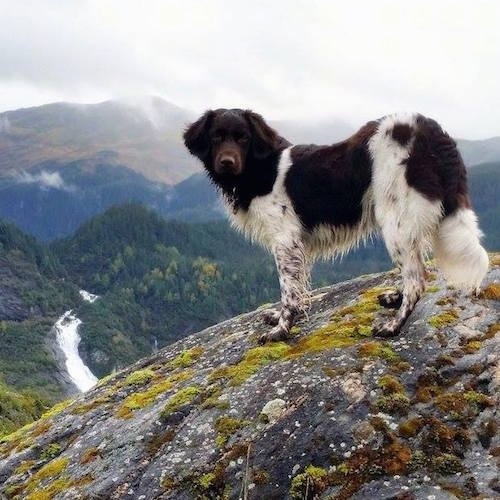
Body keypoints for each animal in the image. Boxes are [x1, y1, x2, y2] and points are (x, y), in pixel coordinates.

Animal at [185, 109, 488, 344]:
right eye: (216, 137)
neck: (262, 168)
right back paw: (394, 298)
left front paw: (281, 331)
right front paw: (281, 317)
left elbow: (288, 291)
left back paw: (393, 326)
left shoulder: (285, 240)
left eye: (243, 138)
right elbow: (298, 288)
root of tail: (431, 129)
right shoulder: (297, 245)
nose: (227, 162)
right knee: (416, 271)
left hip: (395, 220)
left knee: (416, 280)